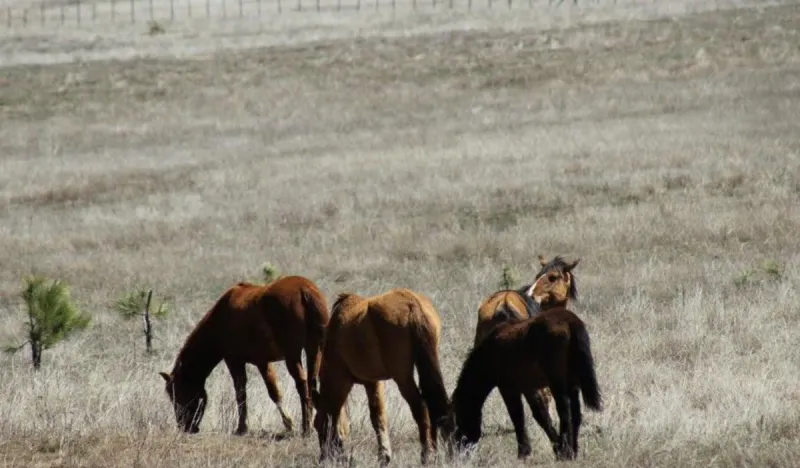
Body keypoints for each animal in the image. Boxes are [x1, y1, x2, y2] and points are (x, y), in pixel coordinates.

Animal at [158, 275, 329, 437]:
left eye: (178, 393)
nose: (185, 427)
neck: (221, 318)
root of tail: (304, 289)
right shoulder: (263, 362)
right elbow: (274, 393)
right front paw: (288, 424)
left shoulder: (234, 361)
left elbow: (241, 393)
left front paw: (242, 428)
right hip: (314, 350)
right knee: (312, 382)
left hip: (292, 355)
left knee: (302, 383)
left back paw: (306, 429)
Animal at [311, 288, 450, 467]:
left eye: (317, 424)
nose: (323, 458)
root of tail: (411, 303)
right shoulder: (373, 382)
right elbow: (379, 416)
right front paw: (384, 455)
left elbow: (374, 417)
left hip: (402, 377)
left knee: (421, 407)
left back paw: (426, 455)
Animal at [442, 307, 602, 462]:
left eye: (457, 426)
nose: (458, 456)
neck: (490, 352)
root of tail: (570, 320)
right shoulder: (529, 388)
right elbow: (542, 416)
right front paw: (556, 447)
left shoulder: (508, 389)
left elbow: (517, 417)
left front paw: (524, 452)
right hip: (572, 383)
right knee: (576, 414)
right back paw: (573, 451)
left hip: (557, 383)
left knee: (565, 413)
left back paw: (566, 452)